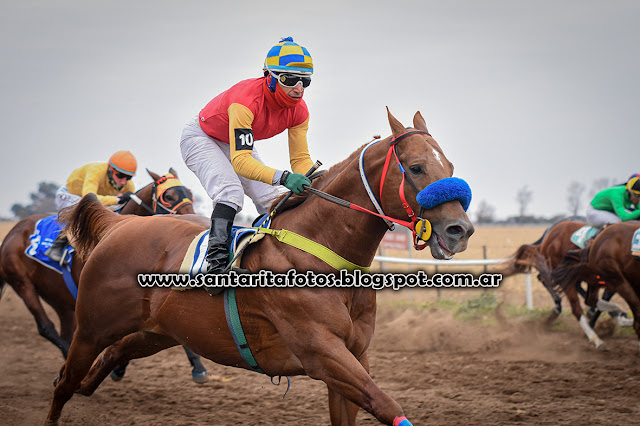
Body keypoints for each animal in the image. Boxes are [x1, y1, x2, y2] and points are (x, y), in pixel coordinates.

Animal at [0, 169, 209, 383]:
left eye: (189, 193)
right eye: (168, 196)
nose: (194, 217)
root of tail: (15, 230)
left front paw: (197, 366)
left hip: (59, 300)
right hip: (22, 282)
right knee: (46, 326)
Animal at [45, 109, 474, 425]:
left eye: (451, 165)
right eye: (416, 168)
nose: (461, 230)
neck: (323, 255)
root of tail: (119, 225)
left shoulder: (355, 356)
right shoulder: (322, 353)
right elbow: (387, 405)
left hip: (158, 333)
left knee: (108, 360)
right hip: (92, 327)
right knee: (64, 380)